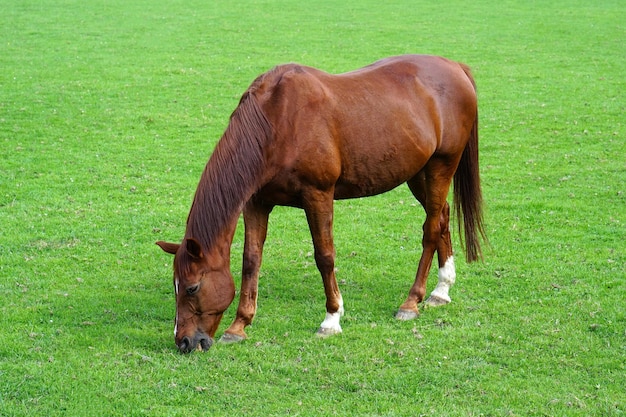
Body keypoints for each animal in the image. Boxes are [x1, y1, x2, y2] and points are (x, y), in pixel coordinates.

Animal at [155, 54, 482, 352]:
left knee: (431, 229)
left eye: (192, 287)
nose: (184, 341)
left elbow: (324, 256)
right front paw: (239, 325)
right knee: (442, 217)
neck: (277, 122)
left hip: (441, 165)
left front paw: (331, 318)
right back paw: (441, 290)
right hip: (417, 172)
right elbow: (251, 260)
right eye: (175, 285)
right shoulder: (256, 203)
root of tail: (455, 67)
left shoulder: (318, 195)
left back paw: (411, 301)